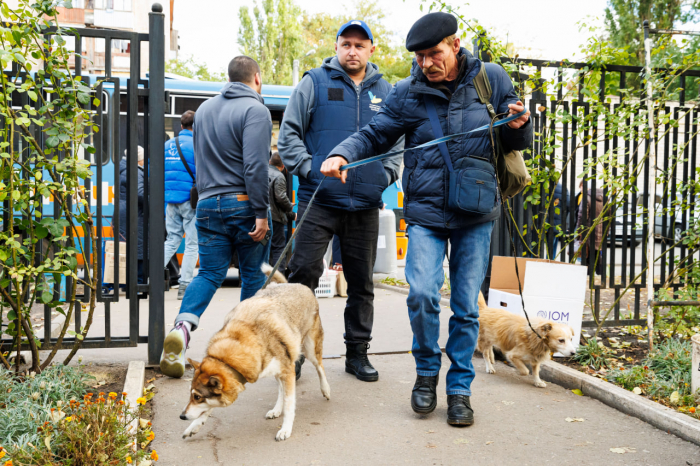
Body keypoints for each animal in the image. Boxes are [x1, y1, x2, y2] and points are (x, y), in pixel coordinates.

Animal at [182, 266, 332, 440]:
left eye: (198, 397)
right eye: (191, 395)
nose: (182, 416)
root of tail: (297, 284)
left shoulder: (288, 371)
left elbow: (290, 405)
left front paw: (286, 429)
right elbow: (208, 409)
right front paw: (194, 426)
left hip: (309, 350)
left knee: (319, 366)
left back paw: (325, 389)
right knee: (281, 388)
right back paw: (277, 409)